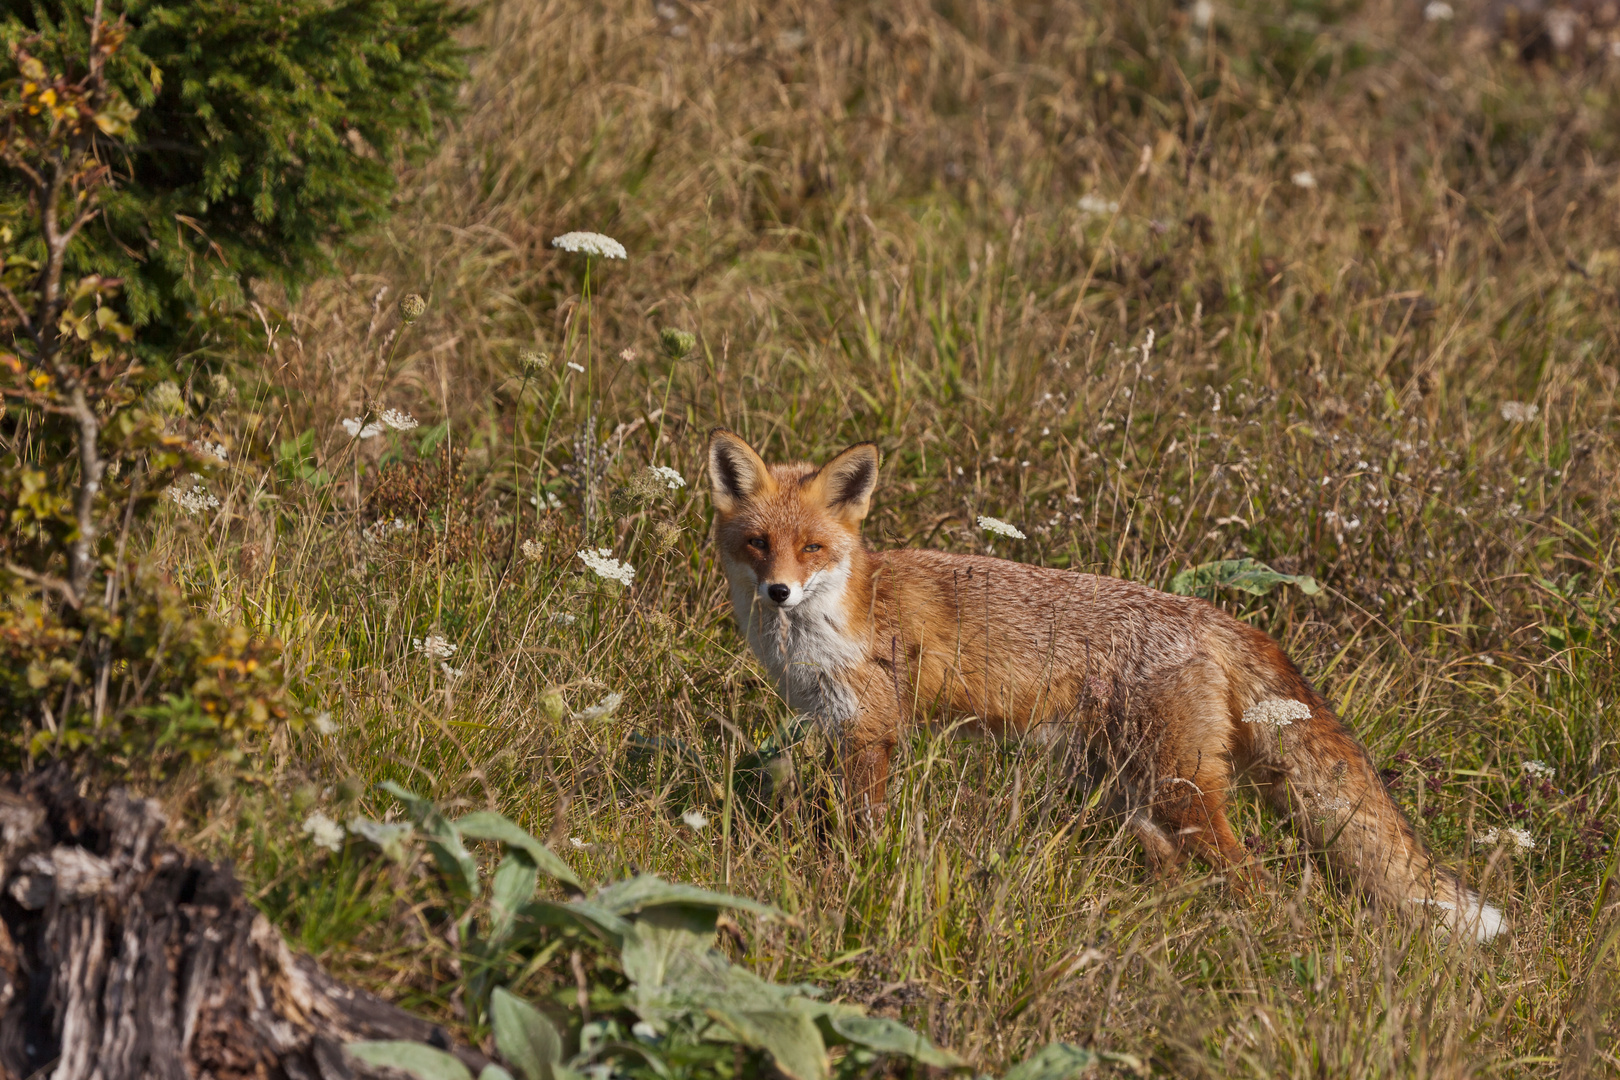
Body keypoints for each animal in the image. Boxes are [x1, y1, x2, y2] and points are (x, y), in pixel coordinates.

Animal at [706, 427, 1503, 939]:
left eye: (813, 548)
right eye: (758, 544)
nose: (779, 591)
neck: (830, 621)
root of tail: (1212, 614)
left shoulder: (871, 729)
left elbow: (863, 828)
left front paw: (858, 875)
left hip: (1177, 791)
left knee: (1254, 878)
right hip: (1133, 792)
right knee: (1181, 870)